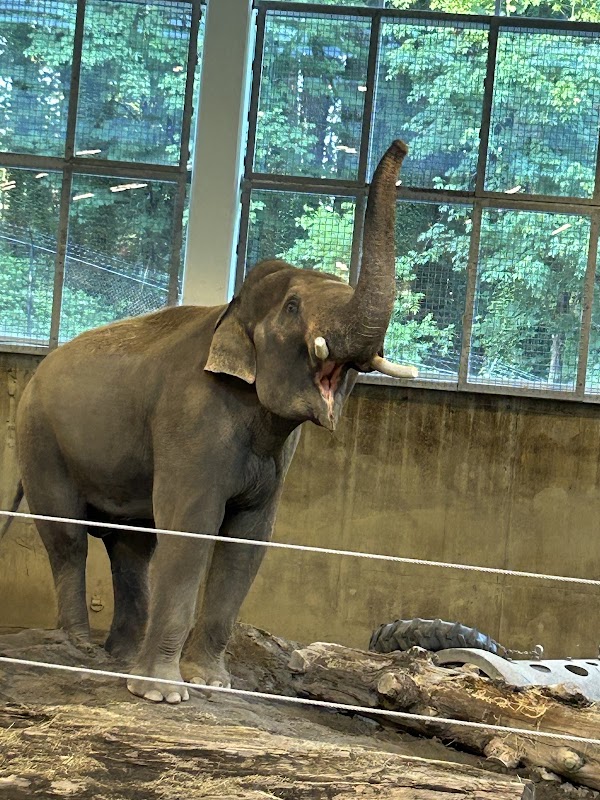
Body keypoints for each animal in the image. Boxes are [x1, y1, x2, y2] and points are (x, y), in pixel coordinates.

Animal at [0, 140, 413, 704]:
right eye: (292, 306)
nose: (401, 146)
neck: (231, 313)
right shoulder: (192, 417)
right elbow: (191, 527)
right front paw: (164, 694)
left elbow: (249, 541)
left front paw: (213, 684)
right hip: (40, 437)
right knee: (67, 536)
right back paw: (79, 649)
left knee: (132, 548)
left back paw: (120, 657)